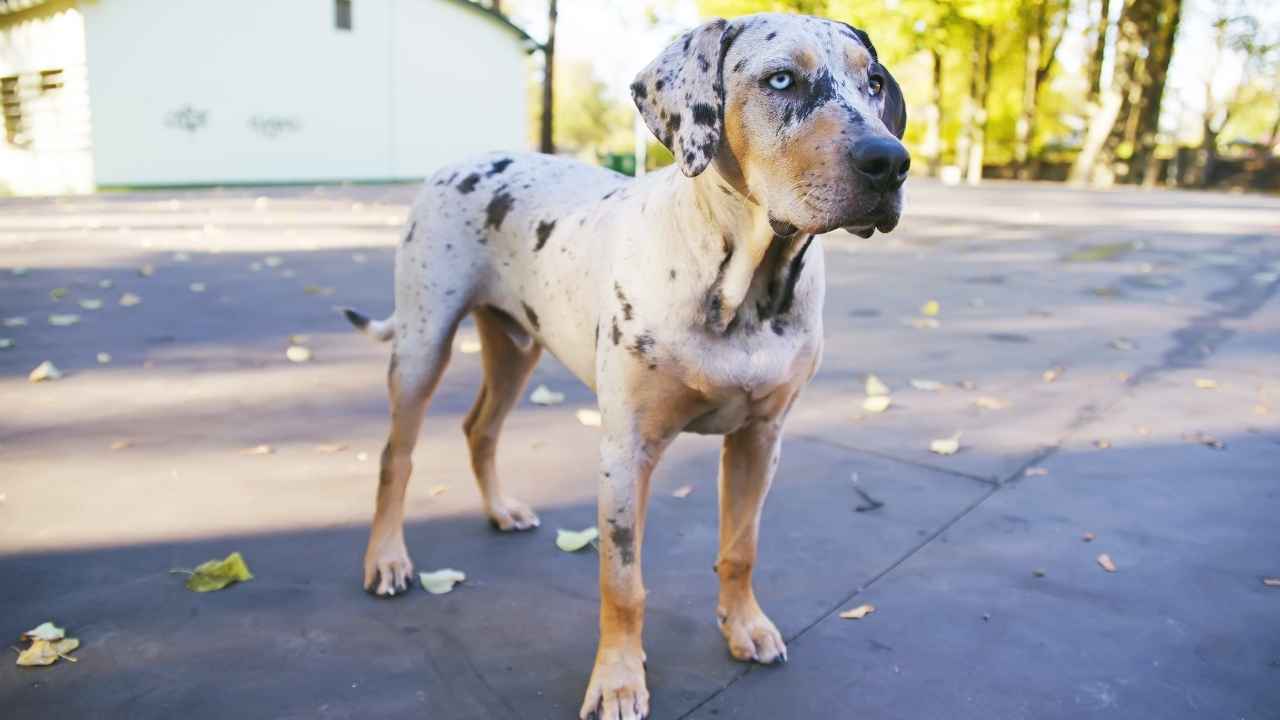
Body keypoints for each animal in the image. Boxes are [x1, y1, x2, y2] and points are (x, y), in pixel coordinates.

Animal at [340, 12, 911, 717]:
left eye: (875, 81)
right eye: (781, 79)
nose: (890, 162)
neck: (747, 287)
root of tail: (459, 162)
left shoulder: (760, 440)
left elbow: (741, 548)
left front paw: (745, 625)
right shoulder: (625, 451)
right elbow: (623, 581)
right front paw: (616, 679)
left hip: (516, 349)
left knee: (480, 430)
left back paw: (501, 509)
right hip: (422, 344)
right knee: (396, 457)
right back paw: (387, 559)